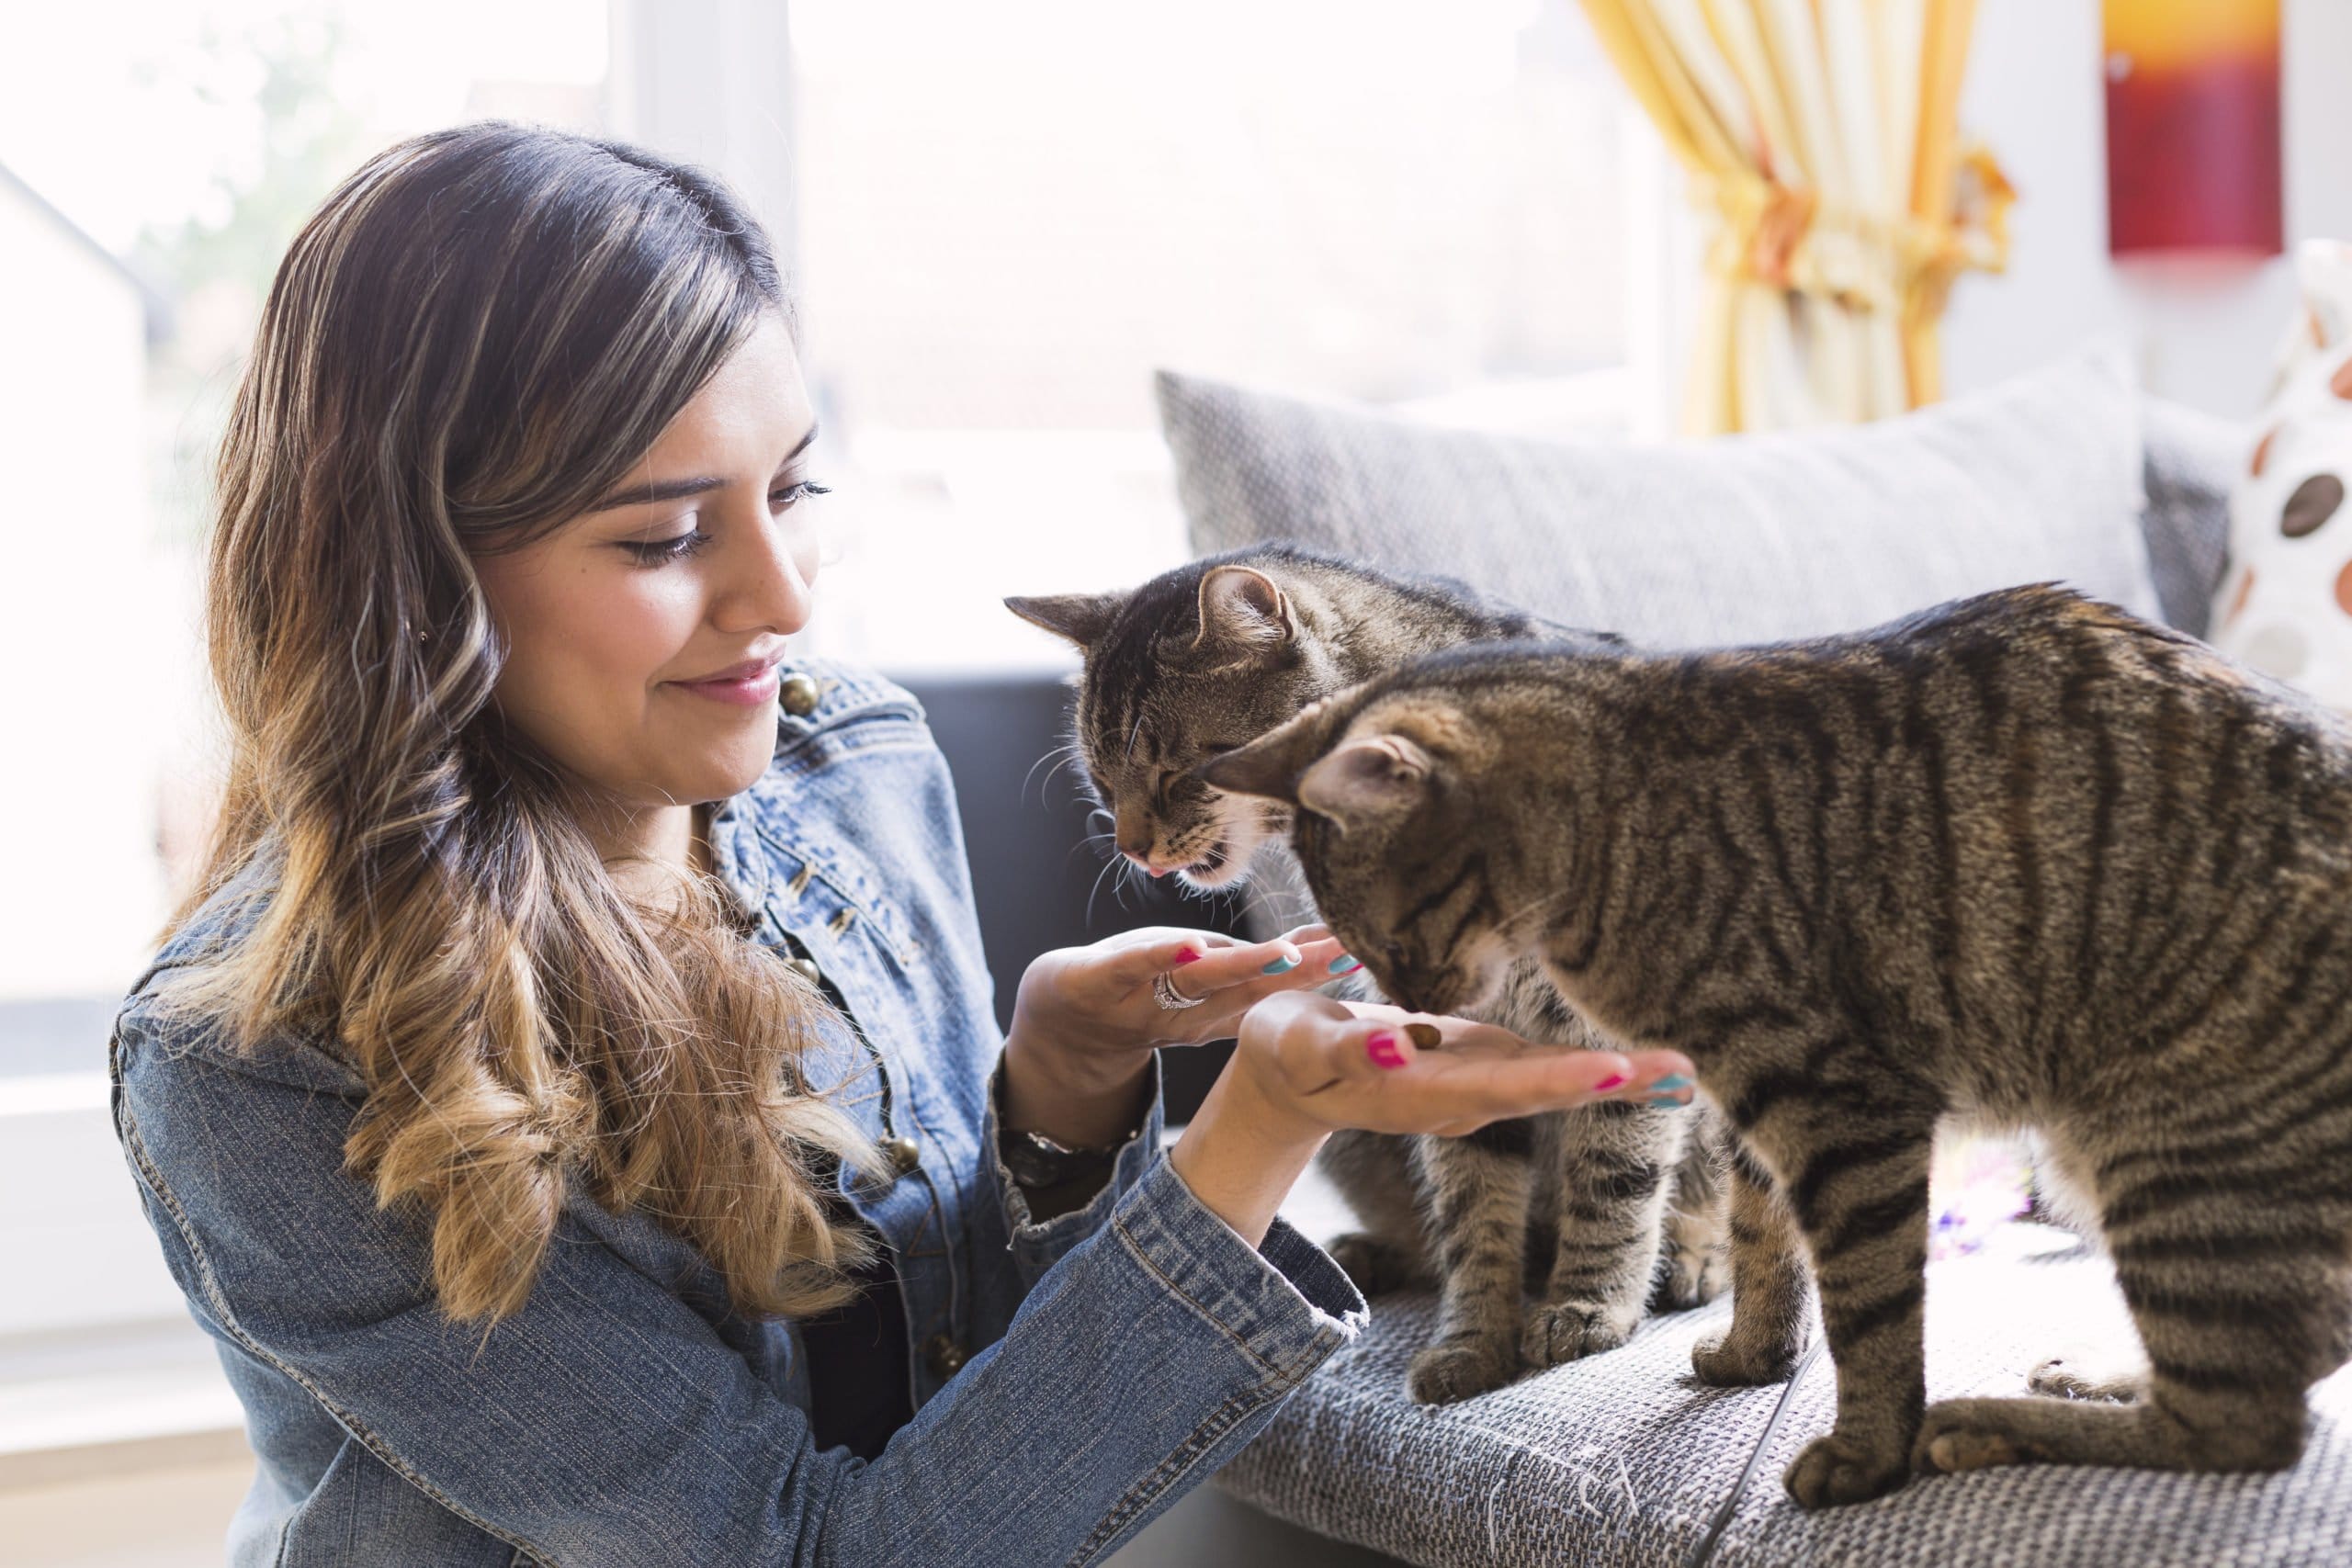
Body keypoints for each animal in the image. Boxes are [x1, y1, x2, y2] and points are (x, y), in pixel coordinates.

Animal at [1006, 545, 1731, 1401]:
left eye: (1180, 773)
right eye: (1100, 779)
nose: (1129, 846)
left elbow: (1616, 1176)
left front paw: (1588, 1305)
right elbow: (1473, 1209)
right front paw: (1472, 1339)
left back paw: (1694, 1257)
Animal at [1204, 585, 2352, 1504]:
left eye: (1392, 936)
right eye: (1358, 947)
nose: (1406, 1002)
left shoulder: (1838, 1112)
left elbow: (1868, 1310)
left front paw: (1866, 1451)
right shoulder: (1748, 1103)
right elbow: (1770, 1248)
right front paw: (1756, 1354)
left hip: (2162, 1158)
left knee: (2241, 1422)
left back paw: (1985, 1424)